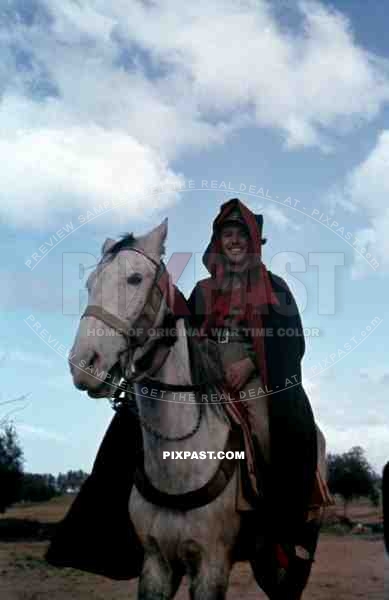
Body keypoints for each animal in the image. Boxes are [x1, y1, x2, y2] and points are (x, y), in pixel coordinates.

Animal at [68, 220, 322, 600]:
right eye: (90, 283)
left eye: (136, 278)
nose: (84, 365)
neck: (179, 460)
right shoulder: (156, 563)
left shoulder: (212, 564)